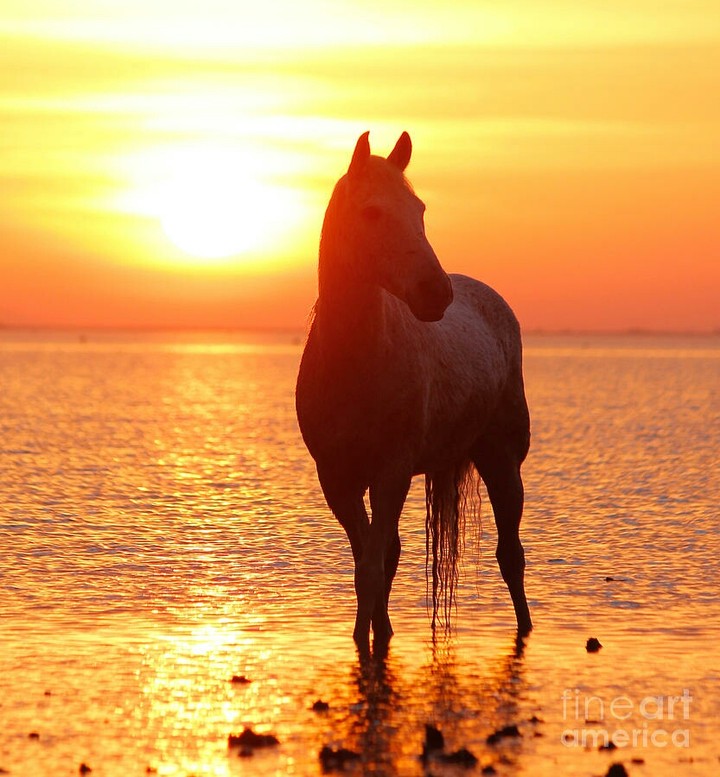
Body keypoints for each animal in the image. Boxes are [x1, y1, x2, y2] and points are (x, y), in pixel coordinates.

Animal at [296, 131, 532, 652]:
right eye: (372, 212)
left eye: (420, 209)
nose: (436, 293)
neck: (355, 363)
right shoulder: (337, 481)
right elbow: (369, 562)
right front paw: (372, 634)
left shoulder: (392, 473)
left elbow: (372, 565)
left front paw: (368, 635)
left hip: (503, 461)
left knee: (512, 556)